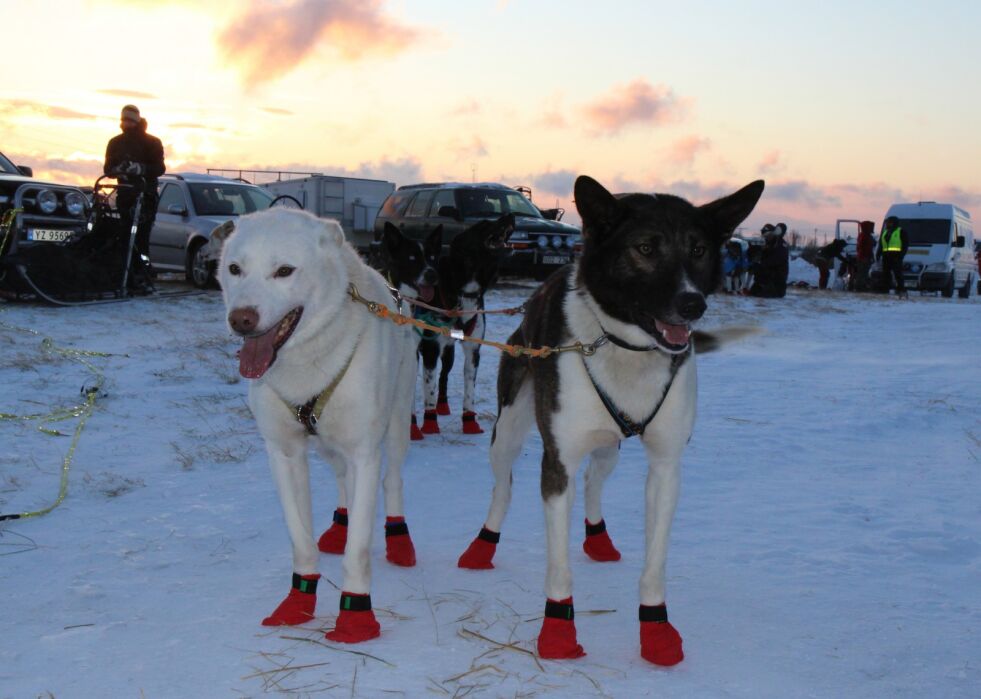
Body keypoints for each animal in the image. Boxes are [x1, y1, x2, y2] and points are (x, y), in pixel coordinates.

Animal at [218, 208, 418, 644]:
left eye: (284, 271)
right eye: (235, 269)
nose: (241, 319)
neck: (306, 361)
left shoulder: (364, 453)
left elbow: (358, 551)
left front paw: (356, 616)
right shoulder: (284, 453)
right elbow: (301, 539)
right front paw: (298, 601)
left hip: (396, 423)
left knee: (393, 479)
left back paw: (398, 539)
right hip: (328, 446)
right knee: (342, 479)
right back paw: (340, 525)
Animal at [456, 175, 760, 668]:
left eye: (698, 249)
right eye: (645, 248)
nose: (692, 304)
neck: (625, 347)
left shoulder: (665, 467)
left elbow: (654, 565)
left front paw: (656, 631)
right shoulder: (557, 462)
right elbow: (559, 568)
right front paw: (557, 632)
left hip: (608, 446)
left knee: (594, 482)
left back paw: (597, 538)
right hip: (509, 430)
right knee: (503, 486)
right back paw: (483, 544)